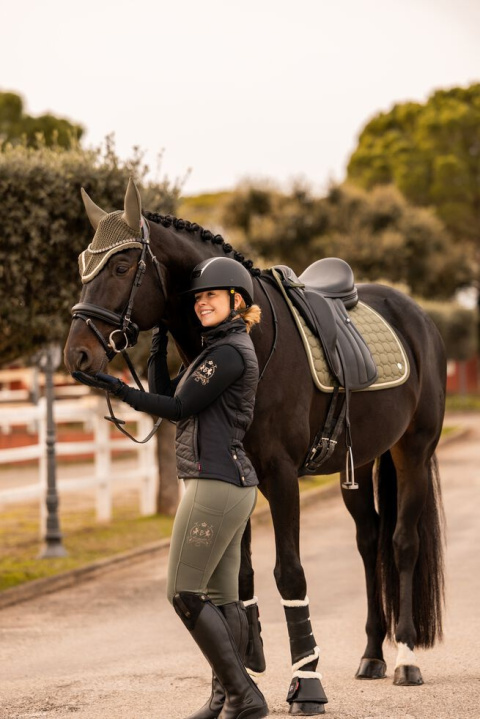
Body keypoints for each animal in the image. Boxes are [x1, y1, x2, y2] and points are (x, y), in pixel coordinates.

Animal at [63, 180, 446, 716]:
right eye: (84, 263)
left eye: (120, 267)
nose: (77, 354)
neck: (254, 336)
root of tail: (414, 314)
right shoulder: (233, 476)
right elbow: (238, 576)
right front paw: (243, 668)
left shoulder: (280, 478)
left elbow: (289, 574)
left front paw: (306, 684)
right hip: (360, 463)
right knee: (370, 541)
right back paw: (372, 654)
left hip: (414, 451)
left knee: (403, 543)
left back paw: (406, 658)